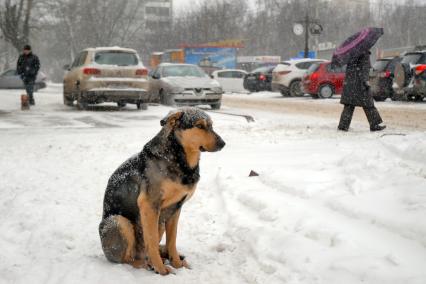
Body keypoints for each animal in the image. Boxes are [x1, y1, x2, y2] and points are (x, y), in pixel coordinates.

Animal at [100, 107, 226, 276]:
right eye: (199, 126)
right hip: (119, 221)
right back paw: (148, 264)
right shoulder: (149, 204)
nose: (223, 143)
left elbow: (172, 240)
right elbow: (152, 241)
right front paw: (161, 270)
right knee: (129, 259)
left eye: (211, 126)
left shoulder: (176, 208)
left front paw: (177, 264)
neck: (178, 158)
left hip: (158, 221)